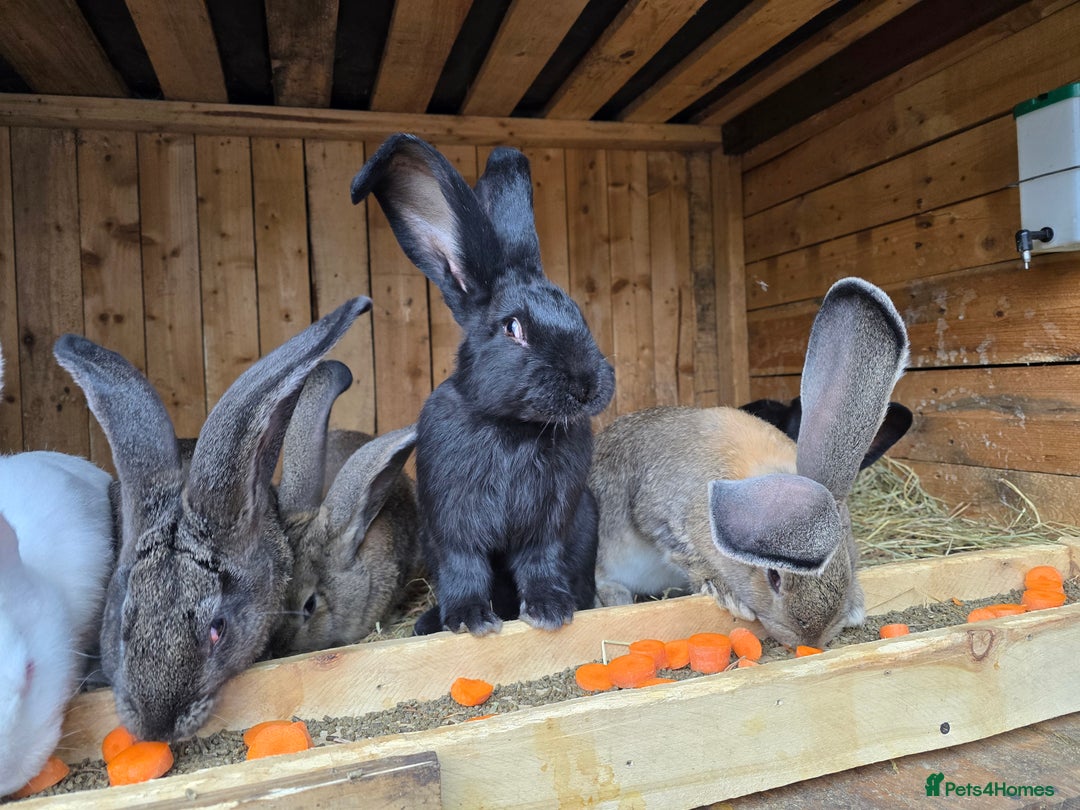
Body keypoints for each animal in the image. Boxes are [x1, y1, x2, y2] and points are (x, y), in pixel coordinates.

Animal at [351, 134, 615, 637]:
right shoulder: (453, 521)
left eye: (579, 313)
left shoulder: (550, 521)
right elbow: (465, 565)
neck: (513, 427)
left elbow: (539, 562)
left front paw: (550, 611)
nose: (587, 385)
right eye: (512, 328)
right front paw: (470, 620)